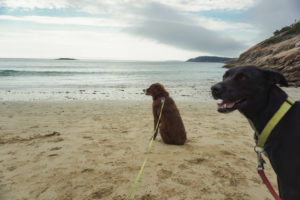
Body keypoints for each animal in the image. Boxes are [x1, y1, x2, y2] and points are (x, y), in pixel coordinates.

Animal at [211, 65, 300, 198]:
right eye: (224, 76)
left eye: (243, 77)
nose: (214, 89)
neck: (277, 117)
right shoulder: (281, 179)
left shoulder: (290, 184)